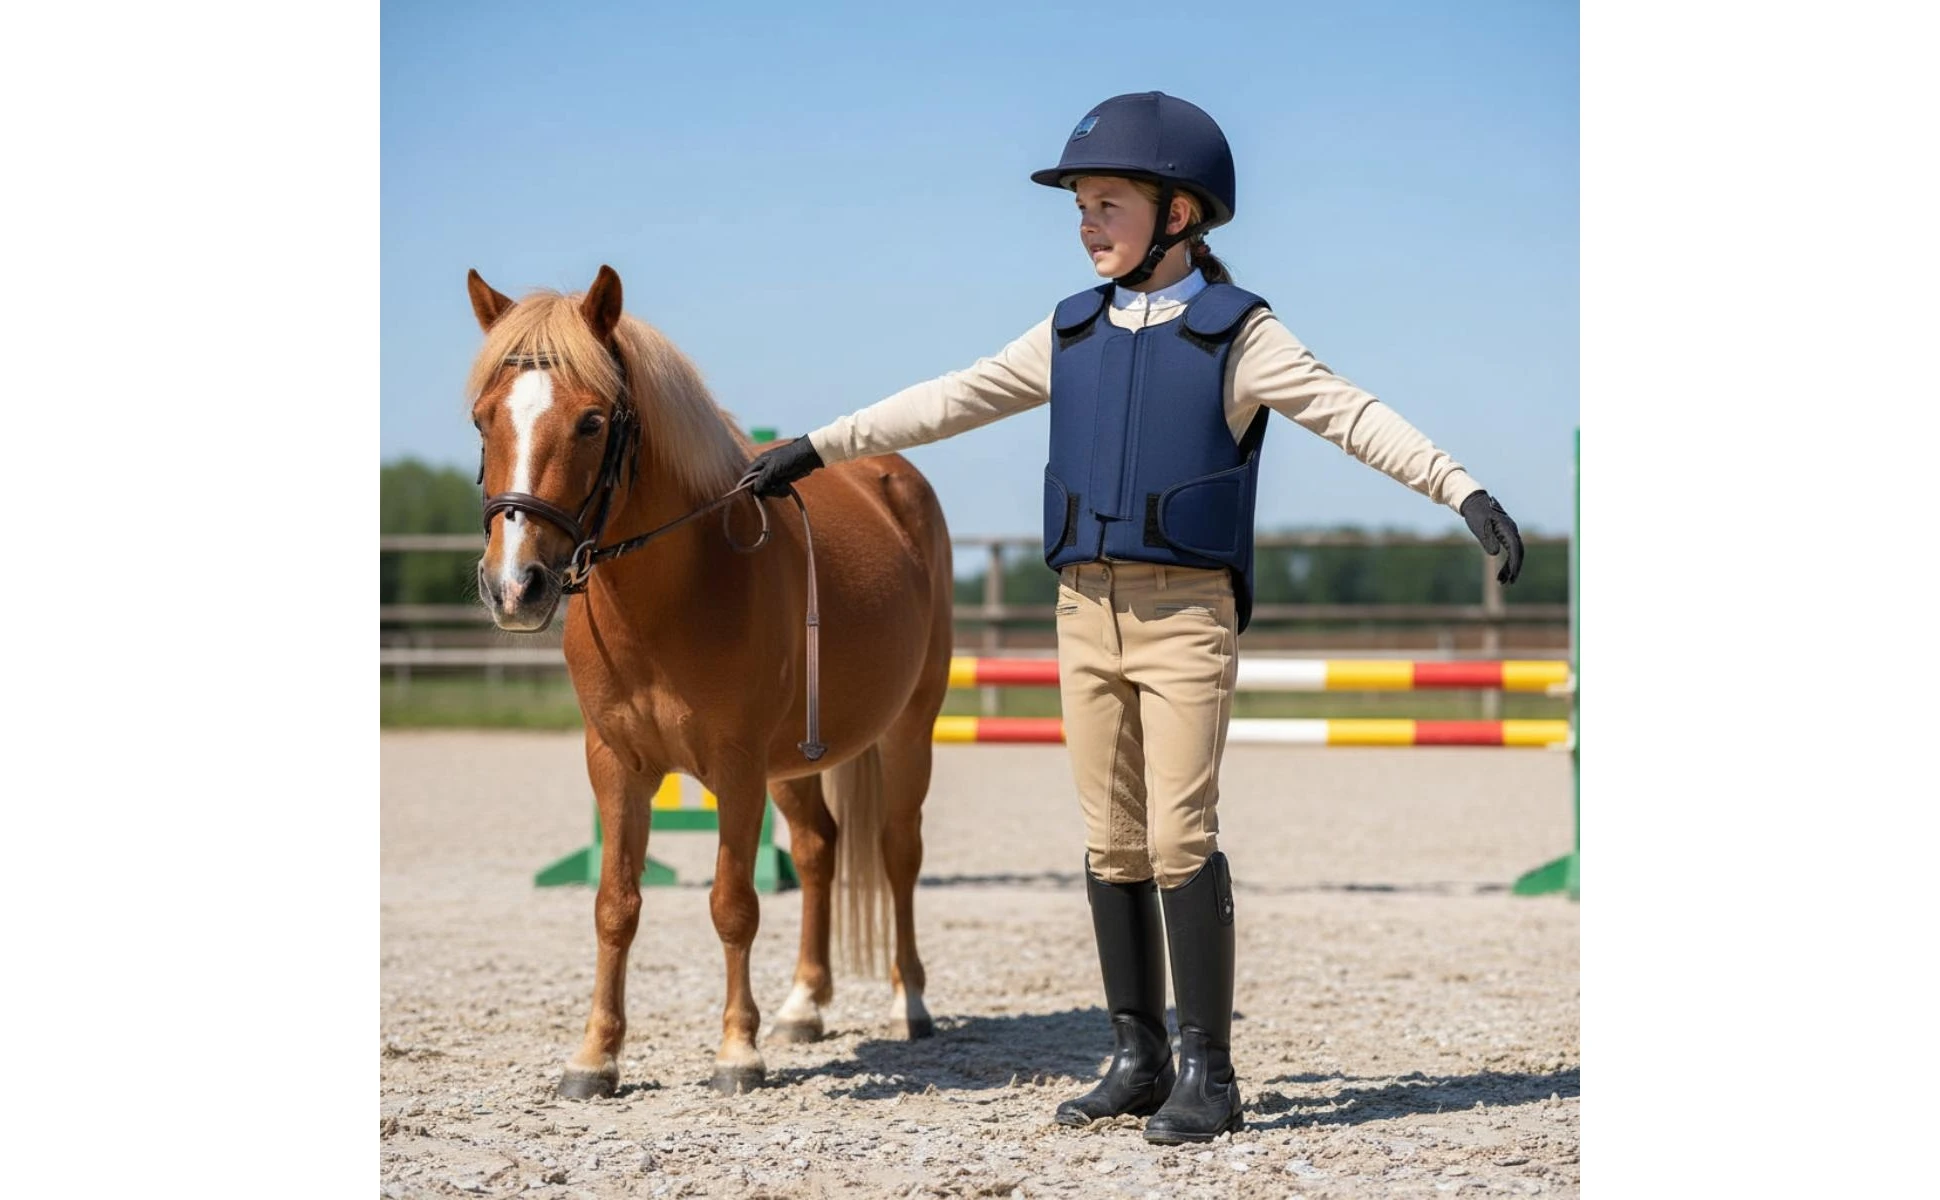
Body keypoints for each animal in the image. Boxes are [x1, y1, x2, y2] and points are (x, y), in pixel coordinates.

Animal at [464, 264, 954, 1096]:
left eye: (592, 422)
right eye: (481, 421)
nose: (513, 587)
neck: (674, 589)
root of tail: (896, 478)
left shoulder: (737, 766)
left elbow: (733, 903)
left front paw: (736, 1051)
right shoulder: (616, 763)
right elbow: (614, 905)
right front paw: (594, 1057)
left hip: (907, 731)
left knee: (897, 851)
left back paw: (908, 1002)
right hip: (797, 763)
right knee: (819, 849)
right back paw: (803, 1006)